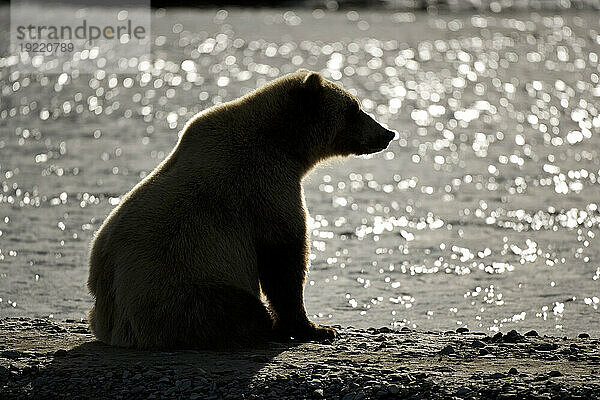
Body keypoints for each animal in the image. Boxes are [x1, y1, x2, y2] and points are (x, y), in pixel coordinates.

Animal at [86, 70, 396, 348]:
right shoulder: (264, 184)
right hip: (183, 294)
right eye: (354, 108)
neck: (283, 142)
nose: (388, 133)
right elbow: (283, 256)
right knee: (239, 310)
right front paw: (315, 328)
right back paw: (263, 328)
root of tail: (117, 329)